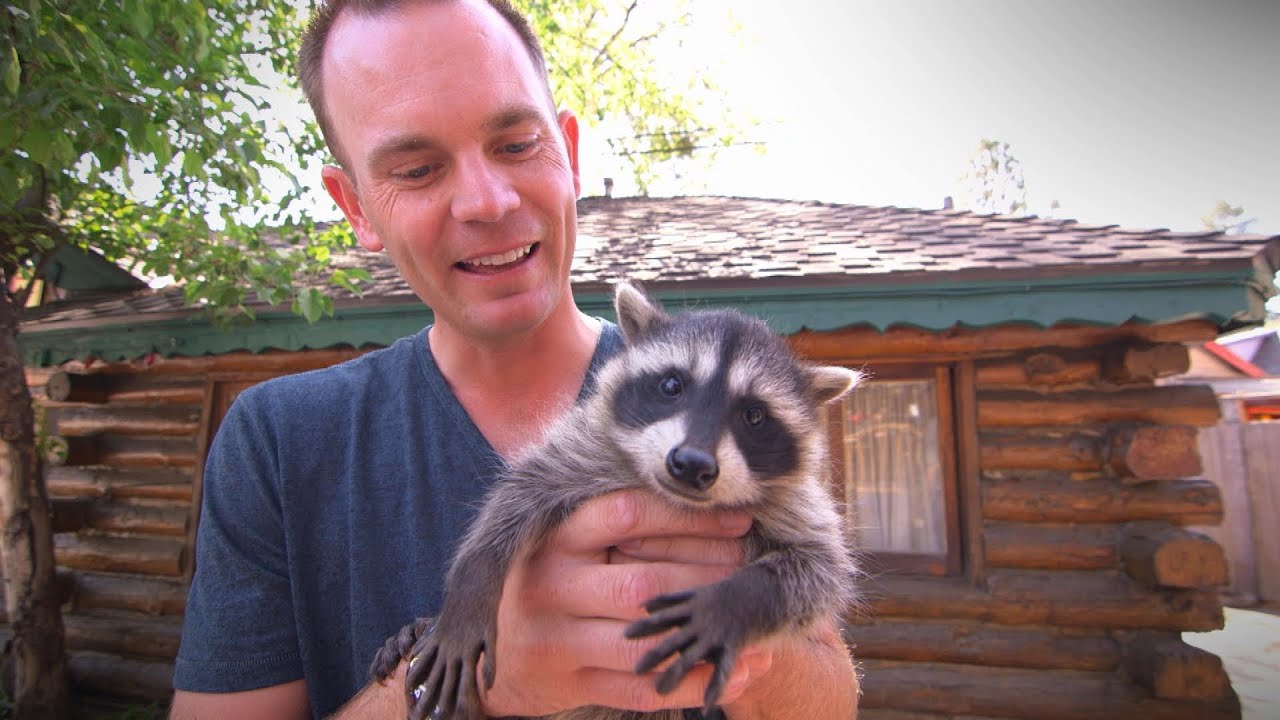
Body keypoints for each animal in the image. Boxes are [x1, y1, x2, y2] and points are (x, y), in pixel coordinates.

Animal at [370, 281, 861, 720]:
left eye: (754, 415)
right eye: (671, 385)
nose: (692, 464)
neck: (670, 496)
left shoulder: (794, 503)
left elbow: (818, 571)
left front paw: (735, 603)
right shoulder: (585, 448)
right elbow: (517, 496)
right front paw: (473, 586)